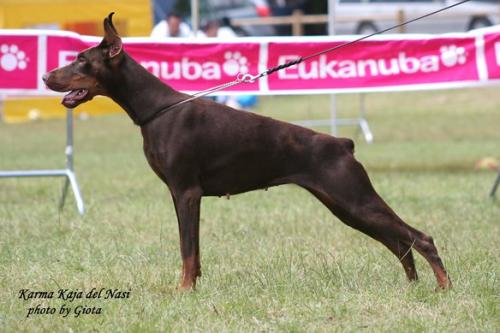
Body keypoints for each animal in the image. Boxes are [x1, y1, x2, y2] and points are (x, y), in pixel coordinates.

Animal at [42, 12, 450, 288]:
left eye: (82, 60)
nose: (46, 76)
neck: (156, 109)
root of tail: (342, 143)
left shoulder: (186, 192)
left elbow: (187, 249)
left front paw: (183, 291)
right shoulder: (180, 195)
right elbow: (191, 250)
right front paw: (191, 289)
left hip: (353, 196)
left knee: (420, 238)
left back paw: (443, 288)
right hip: (344, 205)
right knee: (399, 242)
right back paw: (413, 286)